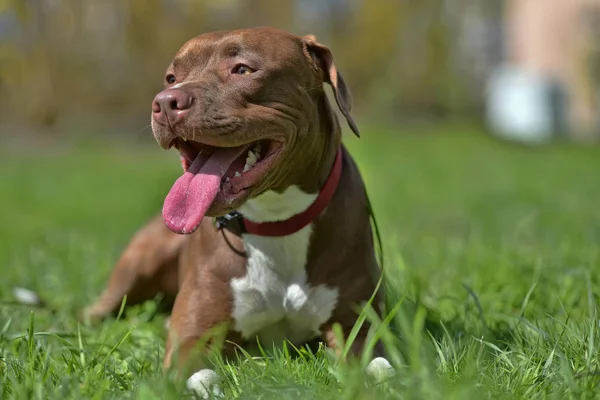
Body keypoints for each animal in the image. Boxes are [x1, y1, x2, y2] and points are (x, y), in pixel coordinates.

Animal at [84, 25, 394, 396]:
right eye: (171, 77)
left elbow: (378, 366)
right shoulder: (192, 337)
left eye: (243, 69)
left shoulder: (356, 326)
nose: (165, 102)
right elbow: (201, 375)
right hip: (139, 261)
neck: (276, 221)